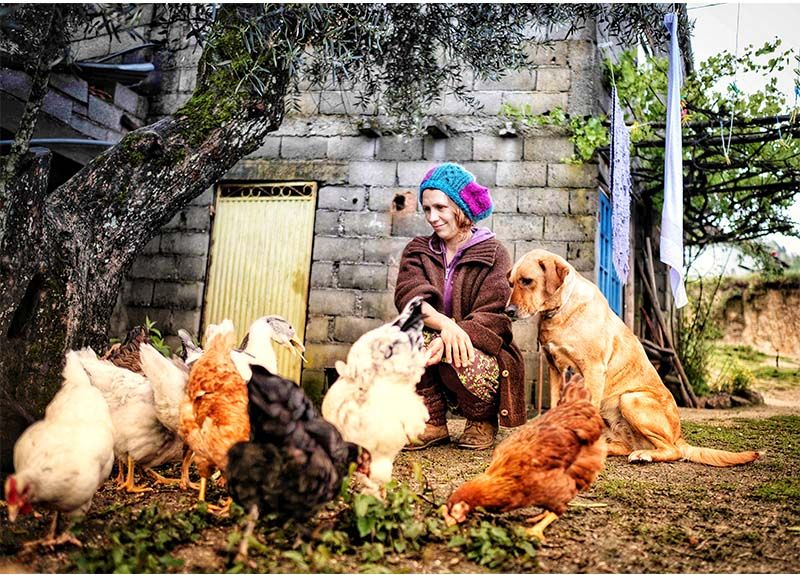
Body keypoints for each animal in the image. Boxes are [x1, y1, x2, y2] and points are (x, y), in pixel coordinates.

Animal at [510, 249, 760, 468]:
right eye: (511, 283)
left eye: (527, 281)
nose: (508, 311)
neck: (561, 310)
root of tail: (679, 435)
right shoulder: (555, 368)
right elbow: (553, 406)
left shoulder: (593, 370)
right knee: (625, 445)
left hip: (631, 399)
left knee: (672, 450)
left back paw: (643, 455)